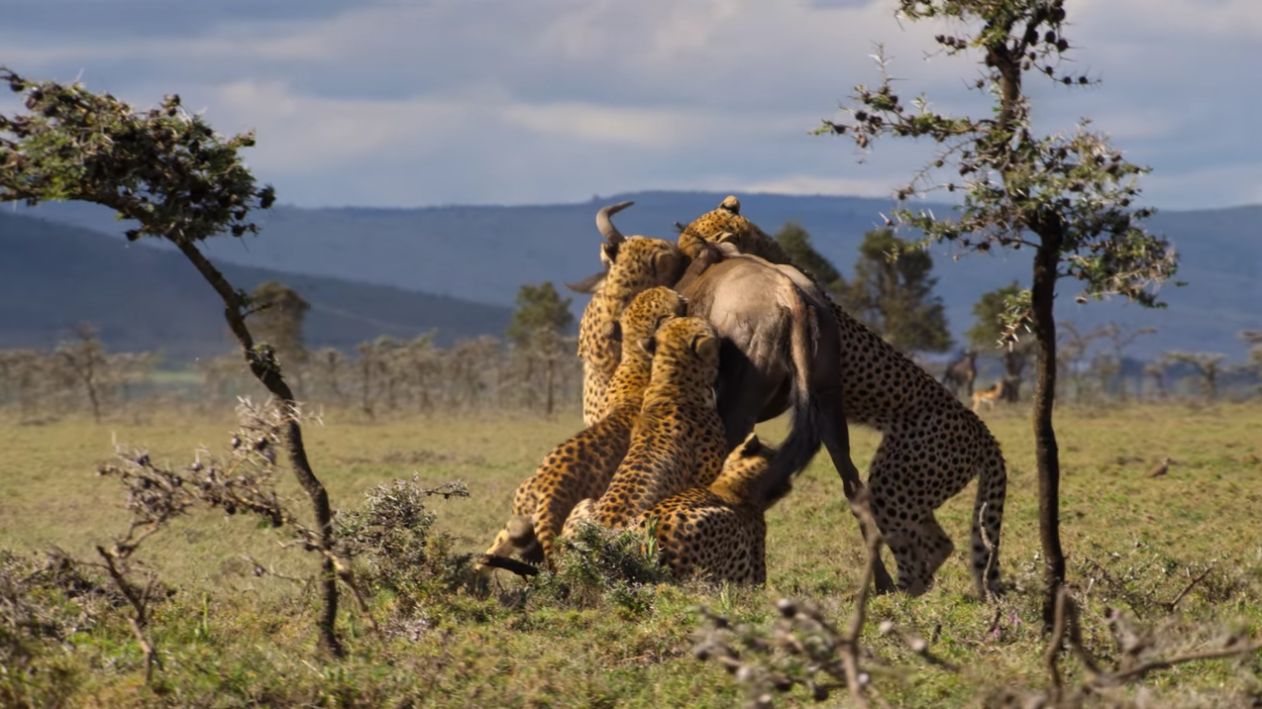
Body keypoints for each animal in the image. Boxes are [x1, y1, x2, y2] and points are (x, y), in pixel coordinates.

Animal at [484, 283, 691, 565]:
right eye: (662, 295)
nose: (677, 293)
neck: (635, 356)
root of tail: (546, 485)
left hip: (520, 515)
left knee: (494, 548)